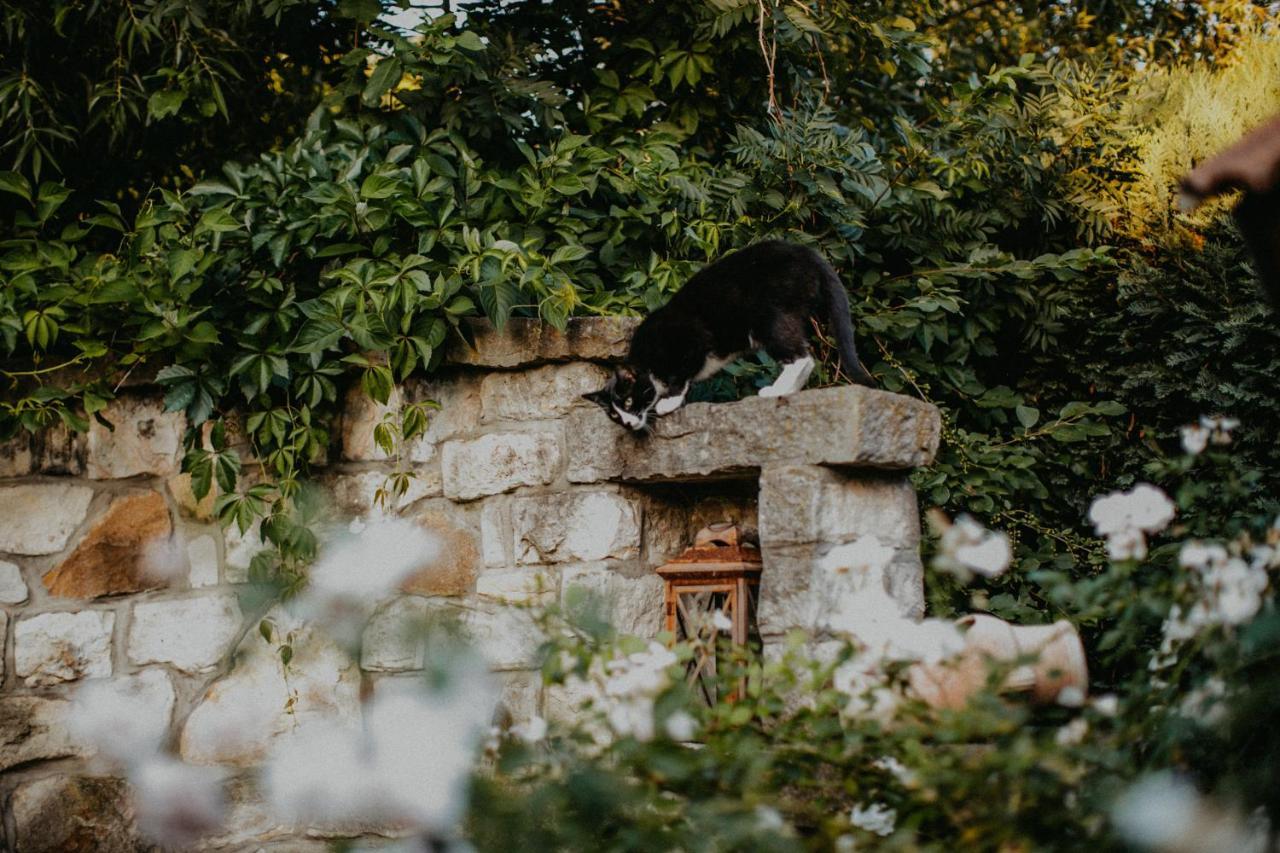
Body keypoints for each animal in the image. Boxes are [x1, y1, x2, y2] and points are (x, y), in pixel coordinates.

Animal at [583, 236, 875, 432]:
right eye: (614, 415)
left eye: (628, 400)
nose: (628, 423)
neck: (648, 360)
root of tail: (806, 252)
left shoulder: (691, 339)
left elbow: (680, 376)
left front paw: (668, 401)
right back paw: (787, 391)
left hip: (772, 317)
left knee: (801, 357)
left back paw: (774, 391)